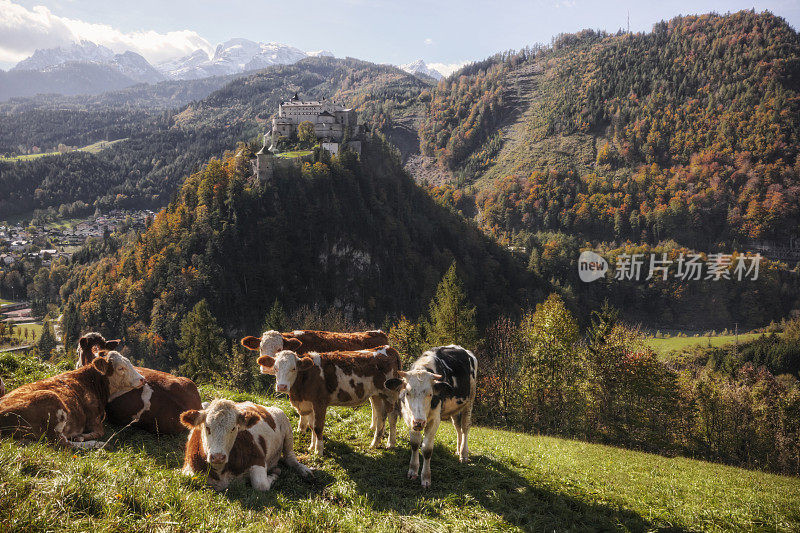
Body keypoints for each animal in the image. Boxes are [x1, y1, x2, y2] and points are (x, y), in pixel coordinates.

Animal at [0, 350, 145, 444]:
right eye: (121, 368)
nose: (142, 379)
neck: (91, 382)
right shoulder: (93, 419)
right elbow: (100, 432)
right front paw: (82, 436)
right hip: (50, 404)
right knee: (64, 445)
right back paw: (96, 444)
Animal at [180, 400, 312, 490]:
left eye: (234, 428)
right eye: (207, 427)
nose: (217, 456)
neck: (220, 472)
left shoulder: (258, 459)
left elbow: (261, 485)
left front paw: (274, 474)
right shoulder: (187, 467)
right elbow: (188, 478)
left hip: (286, 426)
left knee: (290, 458)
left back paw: (304, 470)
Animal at [250, 348, 400, 456]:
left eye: (293, 368)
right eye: (275, 369)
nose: (281, 386)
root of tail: (387, 349)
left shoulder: (320, 403)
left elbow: (318, 427)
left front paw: (319, 450)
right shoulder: (308, 404)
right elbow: (311, 426)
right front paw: (311, 447)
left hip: (389, 393)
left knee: (392, 416)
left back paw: (391, 443)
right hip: (376, 395)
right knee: (380, 417)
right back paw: (375, 443)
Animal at [386, 344, 478, 486]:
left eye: (430, 394)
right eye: (407, 393)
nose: (419, 422)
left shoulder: (434, 419)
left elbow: (427, 449)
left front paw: (426, 477)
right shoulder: (409, 418)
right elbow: (415, 444)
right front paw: (413, 470)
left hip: (469, 402)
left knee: (465, 428)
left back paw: (463, 454)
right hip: (455, 408)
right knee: (458, 427)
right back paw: (458, 449)